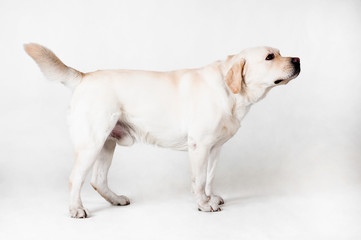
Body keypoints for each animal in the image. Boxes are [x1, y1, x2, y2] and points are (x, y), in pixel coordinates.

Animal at [24, 43, 298, 218]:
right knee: (76, 178)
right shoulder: (199, 146)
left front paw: (211, 197)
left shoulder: (215, 148)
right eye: (270, 57)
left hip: (107, 143)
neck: (231, 91)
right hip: (92, 142)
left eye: (280, 53)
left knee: (97, 180)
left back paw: (116, 200)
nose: (297, 59)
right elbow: (199, 180)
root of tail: (84, 76)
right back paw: (76, 209)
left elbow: (210, 177)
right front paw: (203, 204)